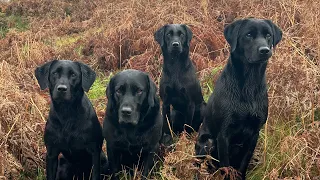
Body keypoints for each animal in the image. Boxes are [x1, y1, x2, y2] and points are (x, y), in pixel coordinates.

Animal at [195, 17, 282, 179]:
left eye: (268, 35)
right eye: (248, 35)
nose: (265, 50)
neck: (249, 84)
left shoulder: (254, 135)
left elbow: (243, 165)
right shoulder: (223, 135)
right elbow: (225, 166)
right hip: (207, 142)